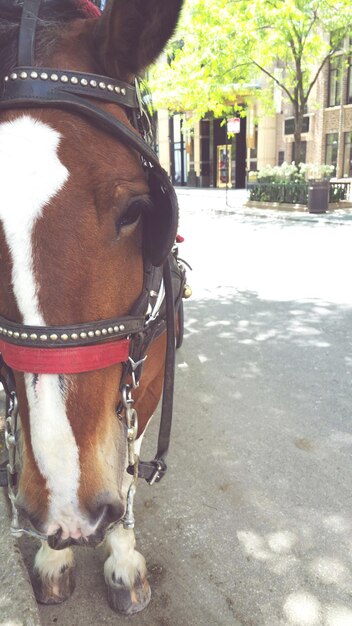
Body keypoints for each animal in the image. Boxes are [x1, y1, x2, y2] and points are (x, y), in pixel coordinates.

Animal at [0, 0, 186, 616]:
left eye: (137, 210)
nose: (67, 508)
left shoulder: (145, 379)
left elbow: (126, 471)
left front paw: (124, 564)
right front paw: (54, 554)